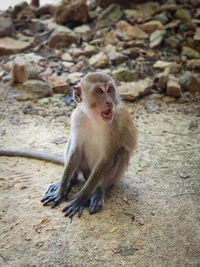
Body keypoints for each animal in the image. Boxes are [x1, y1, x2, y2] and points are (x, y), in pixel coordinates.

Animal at [0, 71, 137, 220]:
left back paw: (99, 191)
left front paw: (80, 199)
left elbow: (107, 158)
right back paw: (71, 181)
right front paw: (61, 191)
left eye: (110, 90)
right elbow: (76, 150)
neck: (95, 117)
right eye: (99, 91)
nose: (109, 101)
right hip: (83, 166)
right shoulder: (78, 117)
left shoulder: (116, 124)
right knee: (73, 144)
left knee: (121, 152)